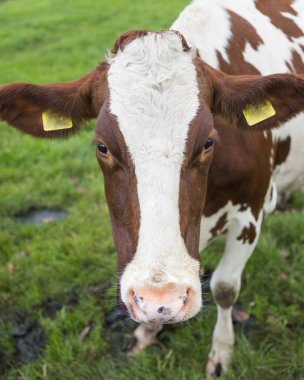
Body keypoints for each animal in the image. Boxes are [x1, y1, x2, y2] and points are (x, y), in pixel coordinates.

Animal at [0, 0, 302, 378]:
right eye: (102, 147)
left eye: (208, 142)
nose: (161, 300)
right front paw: (149, 329)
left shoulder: (252, 212)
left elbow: (224, 288)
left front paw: (221, 351)